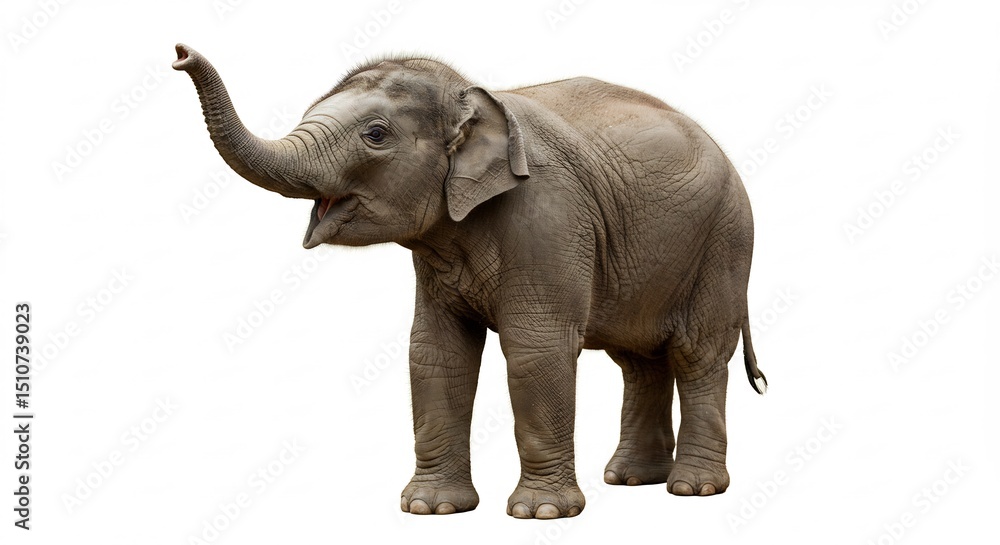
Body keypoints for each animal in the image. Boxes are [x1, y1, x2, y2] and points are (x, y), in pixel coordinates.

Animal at [173, 43, 767, 519]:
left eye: (375, 135)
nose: (180, 53)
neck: (475, 98)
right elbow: (435, 353)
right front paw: (428, 509)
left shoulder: (548, 218)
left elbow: (536, 350)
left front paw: (540, 514)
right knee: (639, 360)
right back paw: (629, 480)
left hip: (724, 244)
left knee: (696, 354)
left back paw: (692, 490)